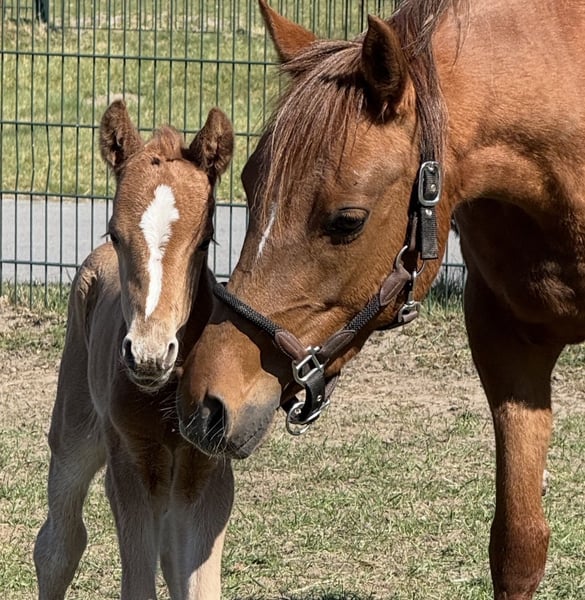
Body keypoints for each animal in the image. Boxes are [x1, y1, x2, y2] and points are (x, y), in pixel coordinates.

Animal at [34, 99, 234, 600]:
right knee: (57, 546)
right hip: (74, 425)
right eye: (115, 232)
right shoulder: (129, 465)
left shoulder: (208, 476)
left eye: (206, 240)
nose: (148, 354)